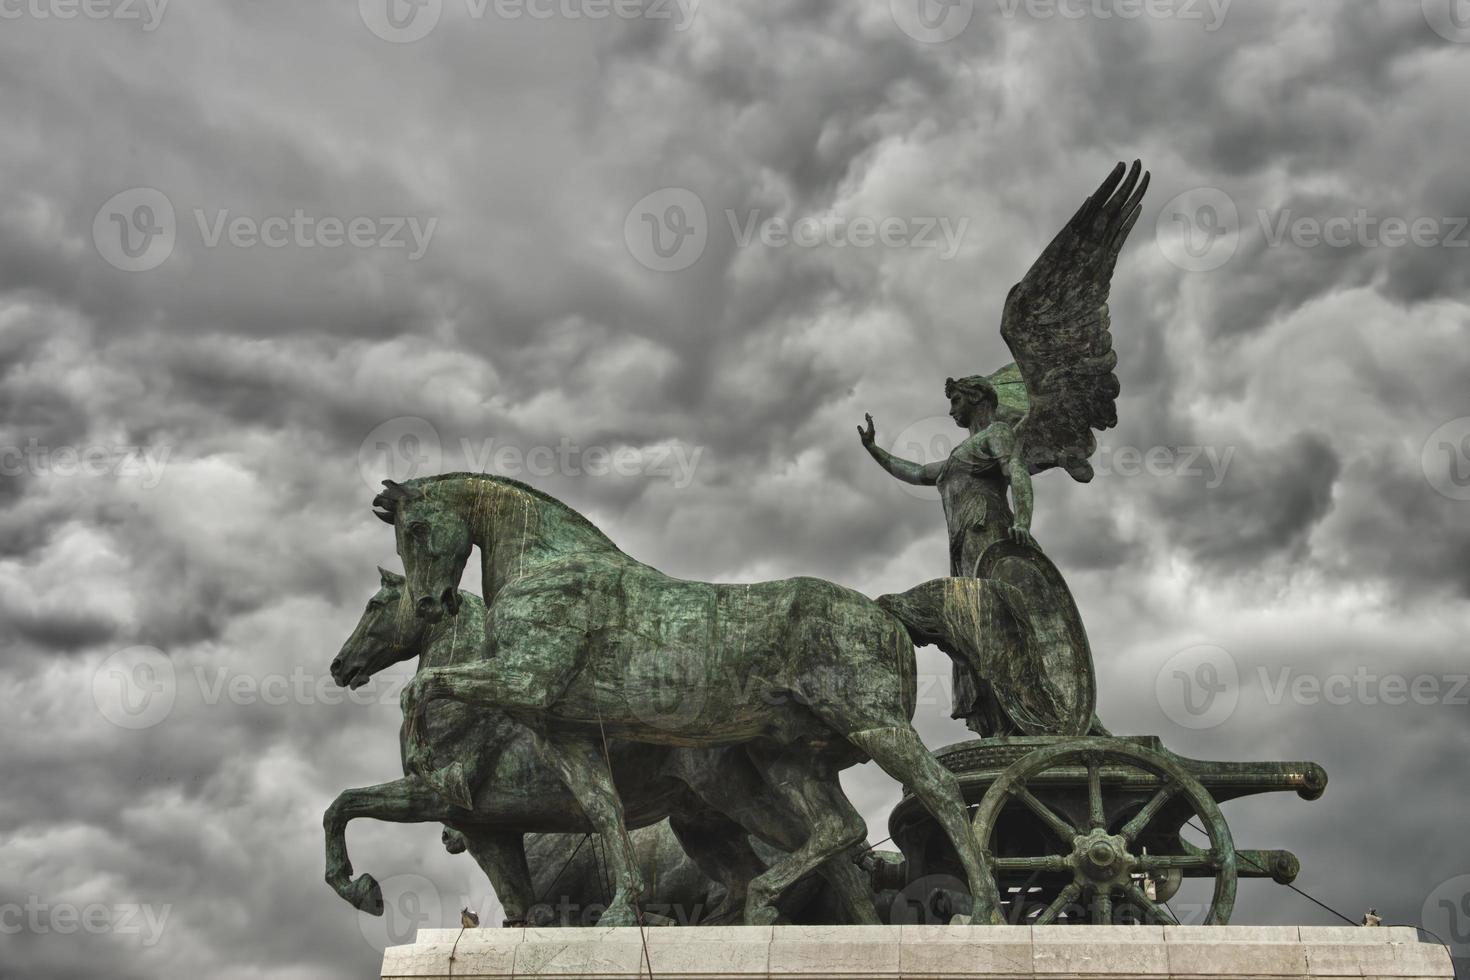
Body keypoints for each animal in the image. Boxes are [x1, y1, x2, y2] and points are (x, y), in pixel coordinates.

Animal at [323, 567, 876, 928]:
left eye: (374, 605)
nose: (339, 666)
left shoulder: (440, 800)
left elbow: (342, 805)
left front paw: (359, 888)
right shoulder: (490, 833)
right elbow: (522, 912)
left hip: (739, 800)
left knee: (829, 845)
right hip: (705, 823)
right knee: (816, 855)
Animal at [373, 470, 1005, 922]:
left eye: (418, 528)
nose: (429, 605)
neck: (547, 564)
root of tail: (881, 612)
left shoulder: (525, 678)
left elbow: (419, 686)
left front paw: (430, 764)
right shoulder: (567, 735)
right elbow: (604, 810)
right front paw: (622, 911)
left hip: (871, 723)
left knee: (938, 789)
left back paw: (985, 910)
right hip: (784, 759)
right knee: (839, 830)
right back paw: (761, 899)